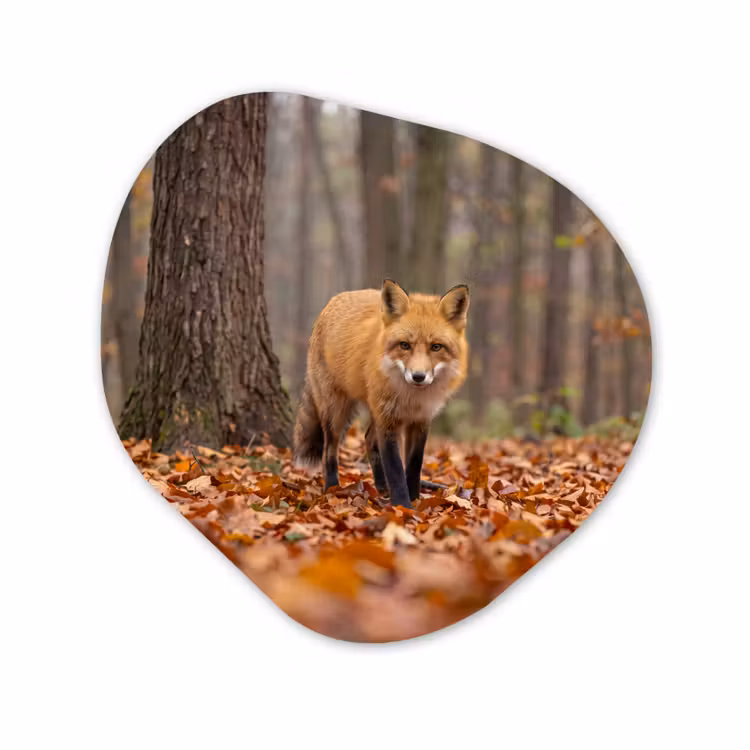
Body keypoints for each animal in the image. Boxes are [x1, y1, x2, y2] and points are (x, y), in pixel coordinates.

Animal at [293, 279, 470, 508]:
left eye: (436, 347)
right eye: (405, 345)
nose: (418, 376)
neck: (411, 399)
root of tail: (334, 300)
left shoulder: (420, 421)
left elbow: (413, 466)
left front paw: (415, 499)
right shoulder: (388, 421)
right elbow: (395, 469)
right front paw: (403, 506)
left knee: (369, 440)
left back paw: (381, 486)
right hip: (336, 410)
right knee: (329, 451)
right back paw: (332, 487)